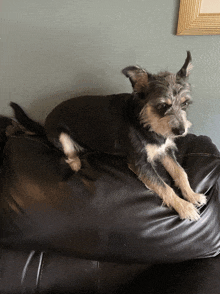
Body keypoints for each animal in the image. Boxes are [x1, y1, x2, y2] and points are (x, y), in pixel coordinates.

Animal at [10, 51, 206, 220]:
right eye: (163, 106)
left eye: (185, 104)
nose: (181, 131)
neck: (145, 122)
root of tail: (45, 123)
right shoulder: (140, 163)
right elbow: (164, 187)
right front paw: (184, 207)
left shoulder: (165, 151)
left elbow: (180, 173)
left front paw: (192, 195)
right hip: (62, 136)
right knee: (70, 154)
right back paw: (76, 163)